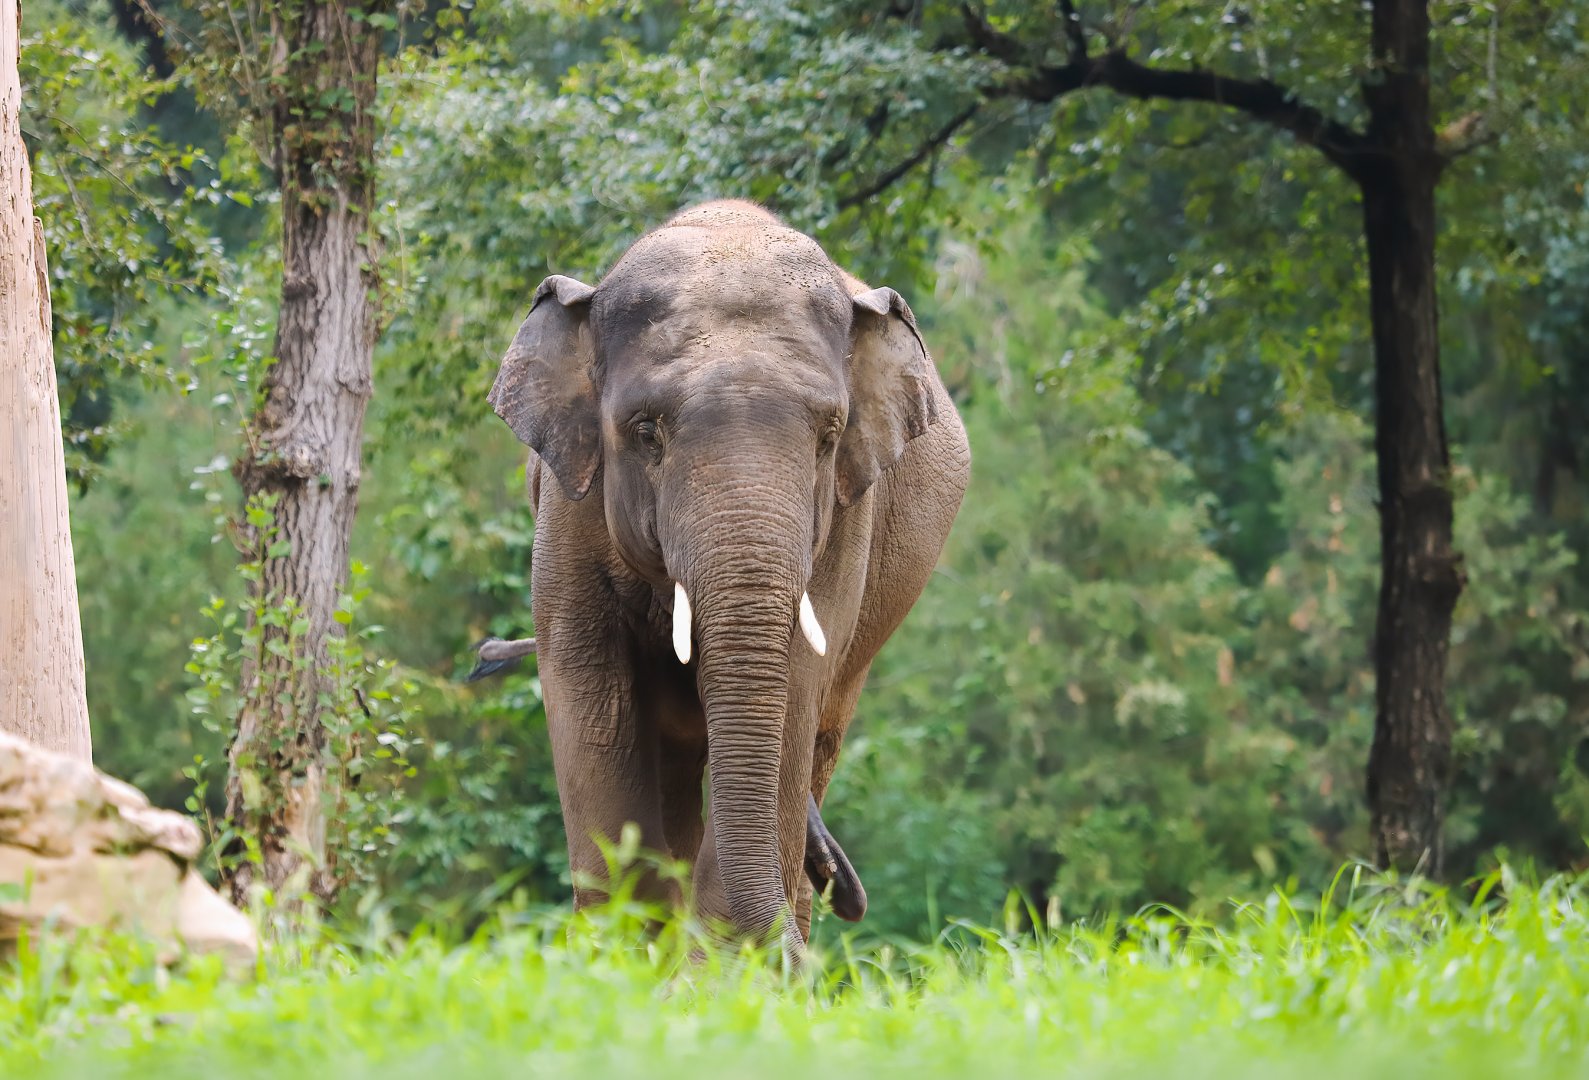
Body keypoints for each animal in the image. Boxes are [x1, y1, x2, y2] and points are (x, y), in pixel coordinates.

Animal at [487, 199, 969, 960]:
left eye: (829, 436)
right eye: (645, 431)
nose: (849, 902)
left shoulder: (845, 517)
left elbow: (794, 688)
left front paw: (724, 969)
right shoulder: (568, 511)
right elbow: (591, 694)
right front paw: (622, 963)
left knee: (816, 740)